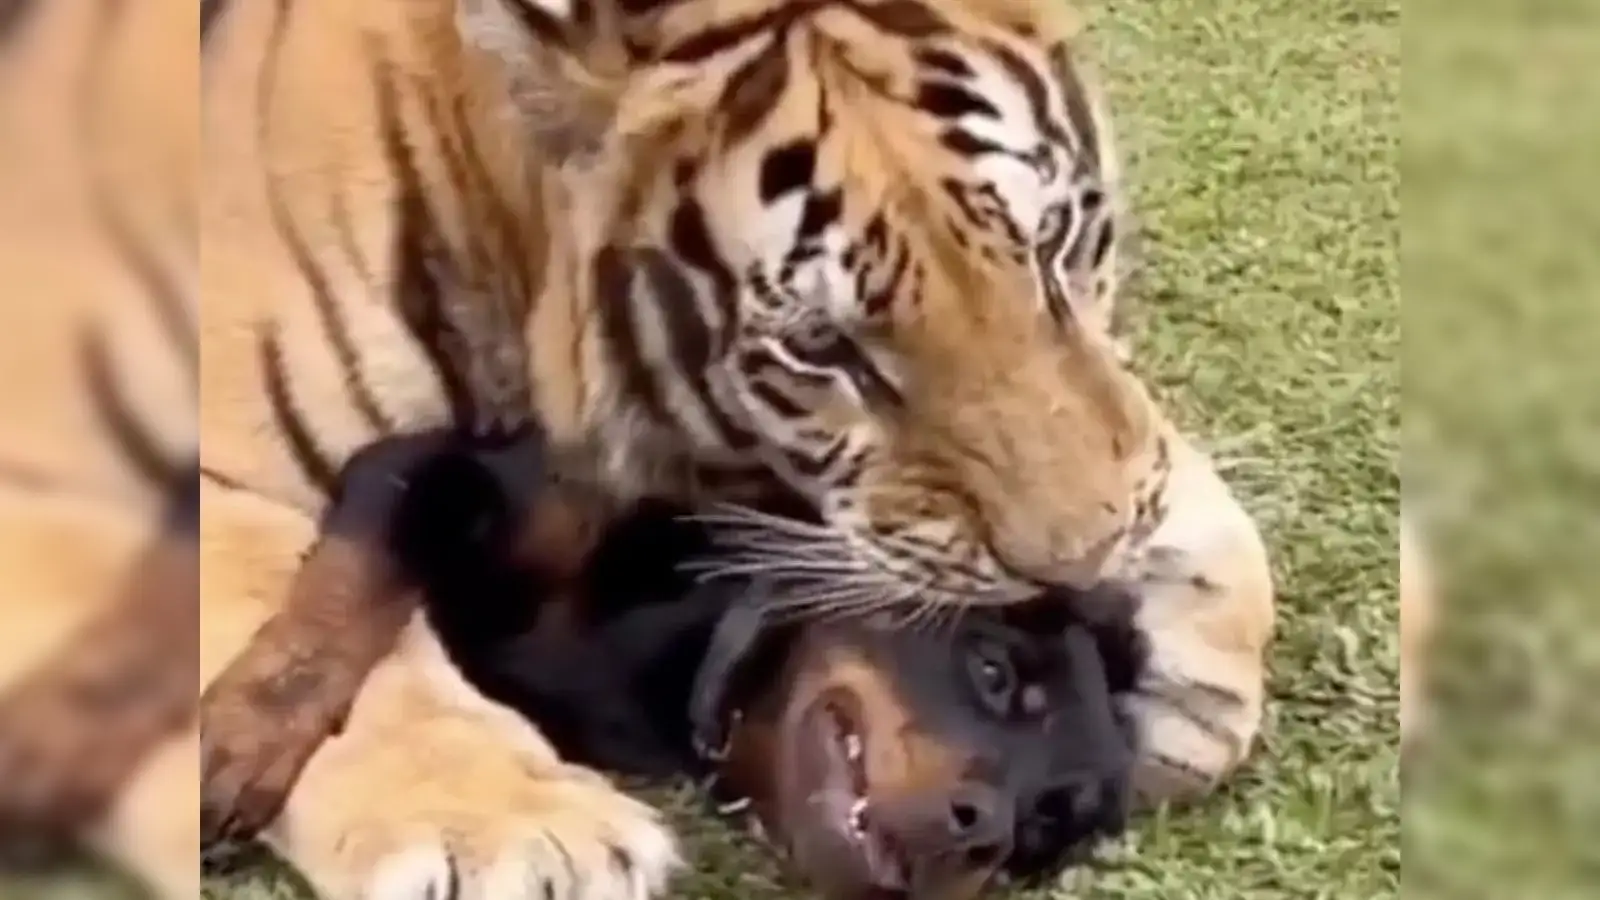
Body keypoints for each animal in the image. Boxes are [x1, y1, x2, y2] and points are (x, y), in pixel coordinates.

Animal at [190, 0, 1274, 896]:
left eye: (1046, 831)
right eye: (993, 676)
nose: (984, 830)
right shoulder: (417, 470)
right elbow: (331, 598)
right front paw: (512, 829)